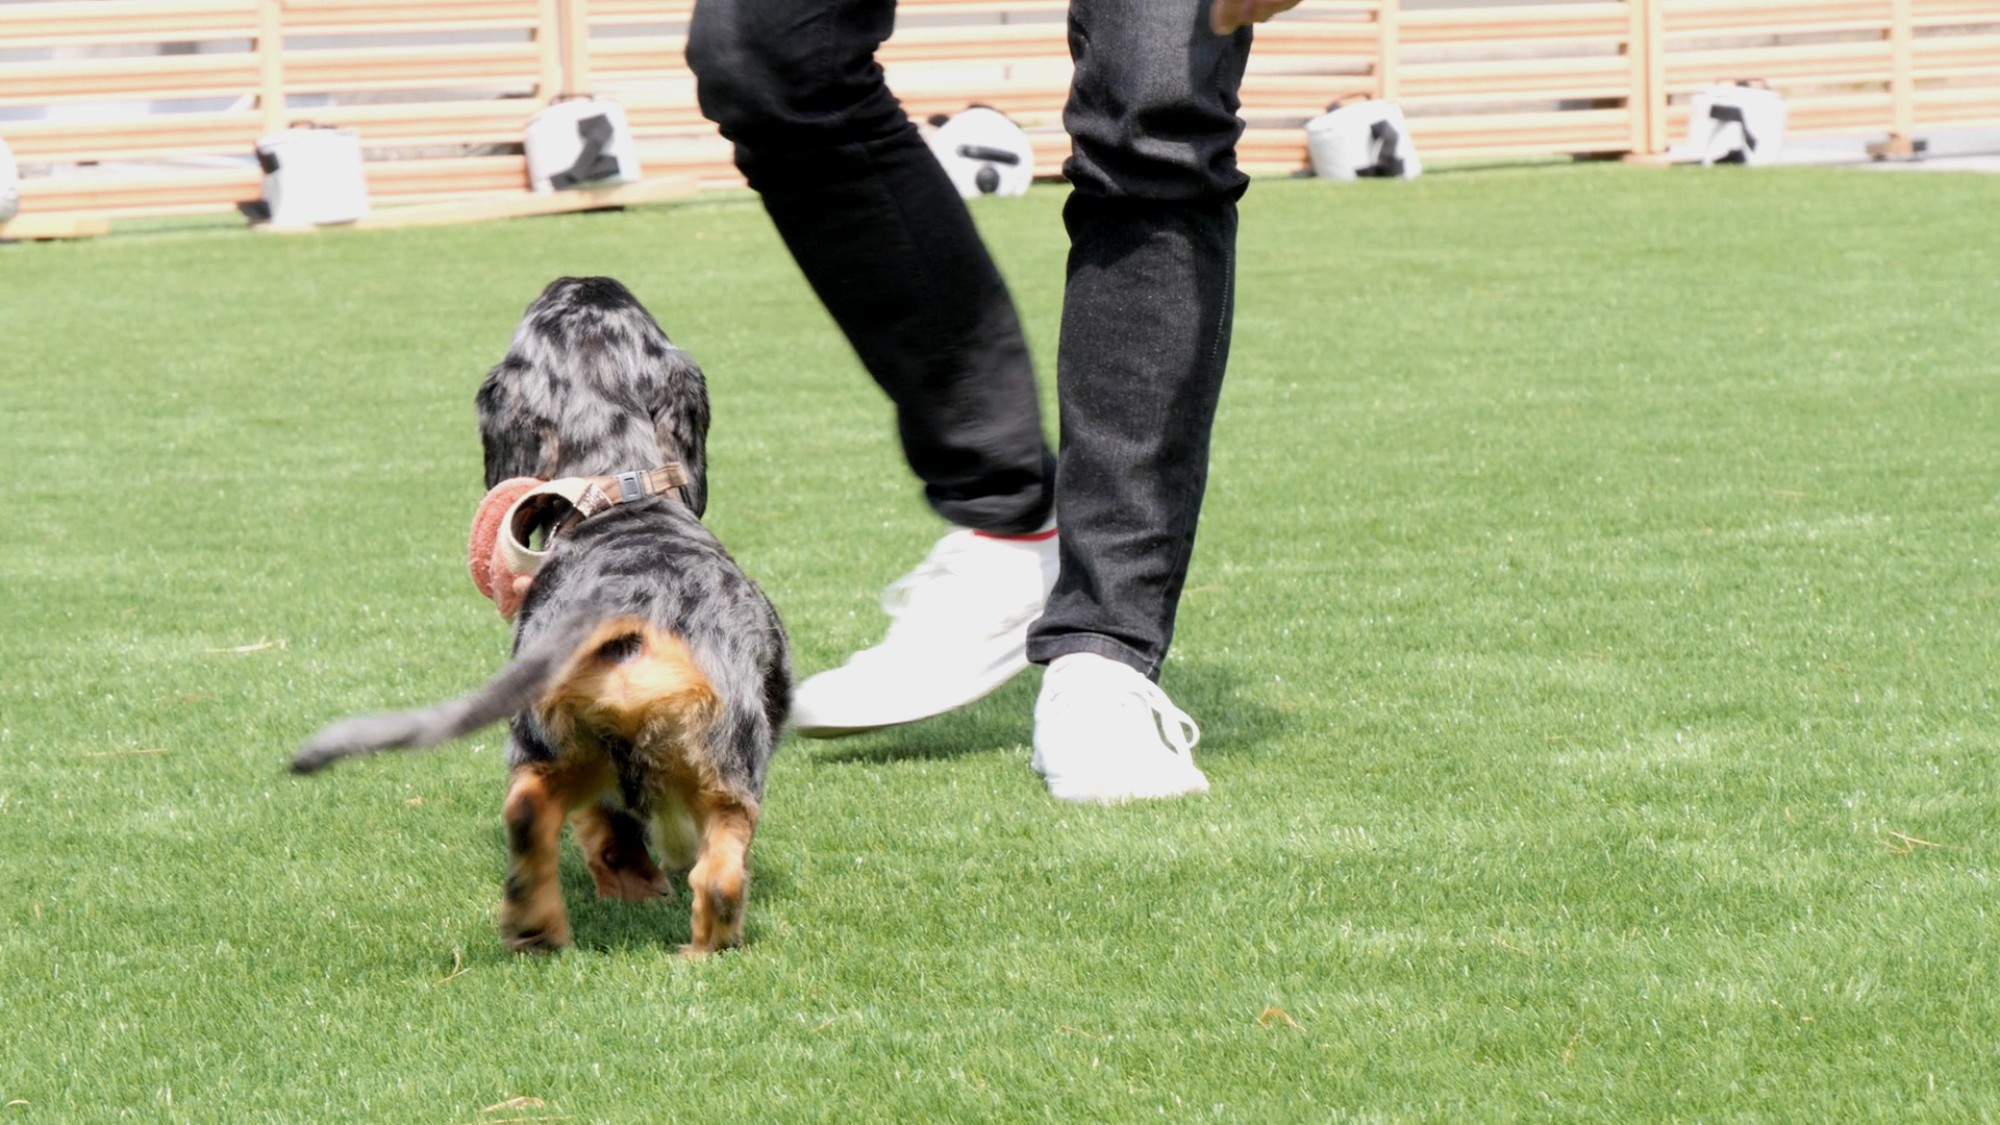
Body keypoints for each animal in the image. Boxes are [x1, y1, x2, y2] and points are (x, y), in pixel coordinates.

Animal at [294, 276, 788, 948]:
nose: (583, 279)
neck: (619, 491)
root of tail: (623, 613)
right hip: (729, 765)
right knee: (714, 870)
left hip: (551, 742)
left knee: (537, 814)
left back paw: (536, 926)